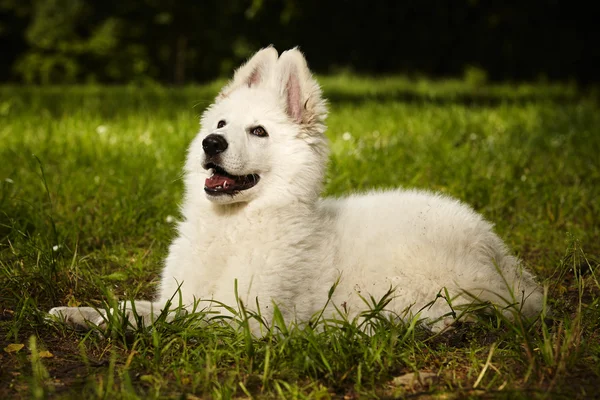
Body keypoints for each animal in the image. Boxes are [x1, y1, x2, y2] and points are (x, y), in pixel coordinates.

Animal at [48, 48, 544, 332]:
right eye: (220, 124)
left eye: (259, 132)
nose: (212, 143)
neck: (236, 226)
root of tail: (506, 262)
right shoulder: (183, 294)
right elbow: (141, 305)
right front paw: (77, 313)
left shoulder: (245, 317)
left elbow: (171, 317)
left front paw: (109, 320)